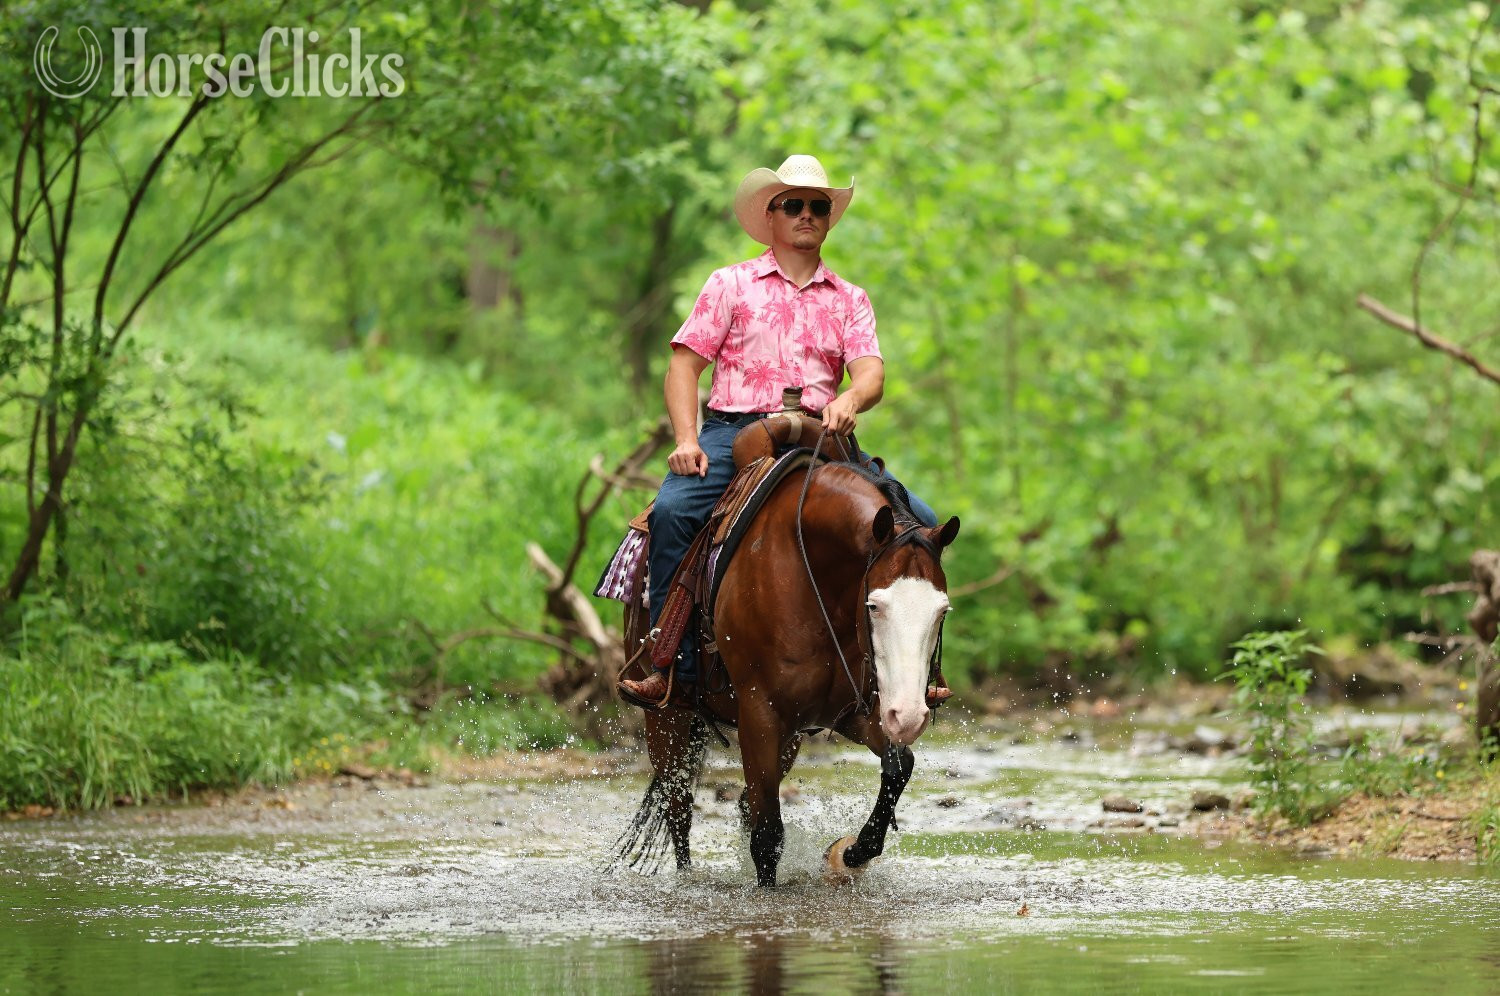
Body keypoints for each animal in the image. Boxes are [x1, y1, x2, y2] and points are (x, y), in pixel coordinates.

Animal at [613, 425, 960, 887]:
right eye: (874, 605)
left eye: (941, 610)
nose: (908, 716)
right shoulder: (760, 713)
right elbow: (767, 835)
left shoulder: (851, 710)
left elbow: (899, 767)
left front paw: (847, 853)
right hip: (667, 717)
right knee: (679, 806)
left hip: (790, 737)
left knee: (740, 801)